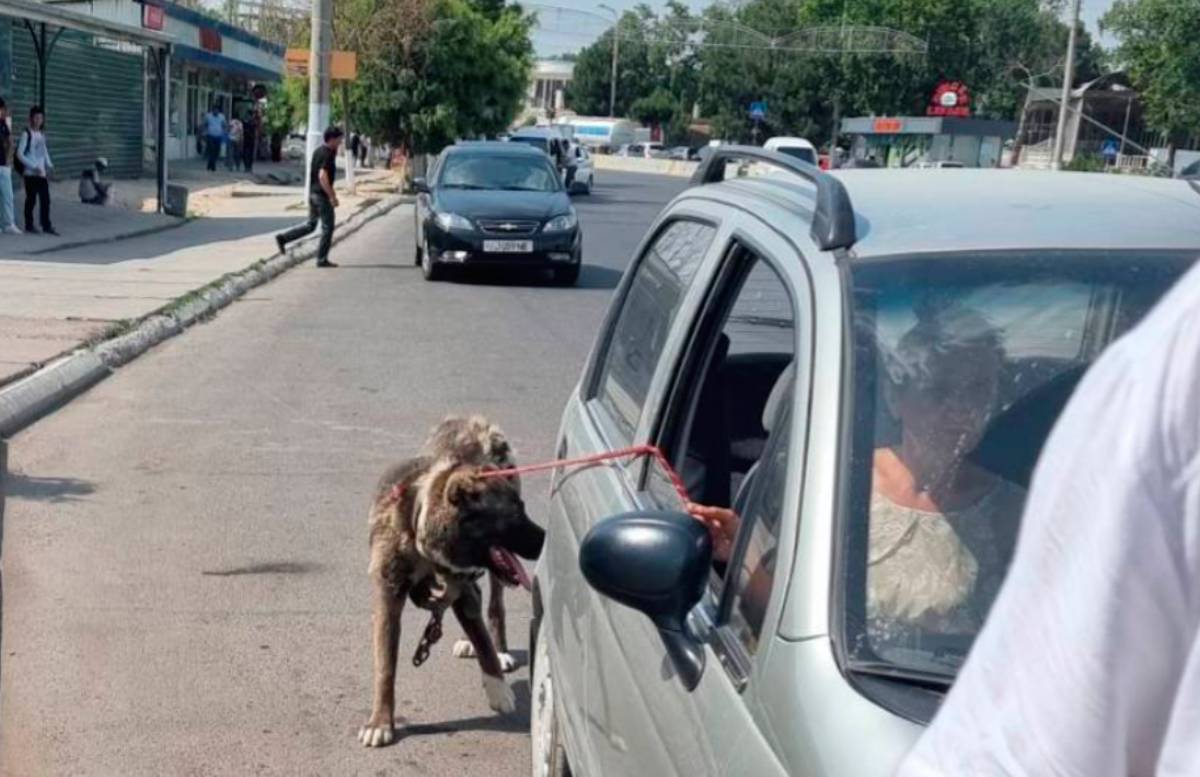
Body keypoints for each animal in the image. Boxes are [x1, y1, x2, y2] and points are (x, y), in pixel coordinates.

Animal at [355, 414, 544, 748]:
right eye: (515, 513)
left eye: (522, 508)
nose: (546, 537)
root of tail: (472, 419)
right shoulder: (388, 593)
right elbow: (385, 665)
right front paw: (380, 722)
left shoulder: (462, 587)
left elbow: (483, 639)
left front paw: (498, 689)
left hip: (492, 575)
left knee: (494, 605)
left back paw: (501, 650)